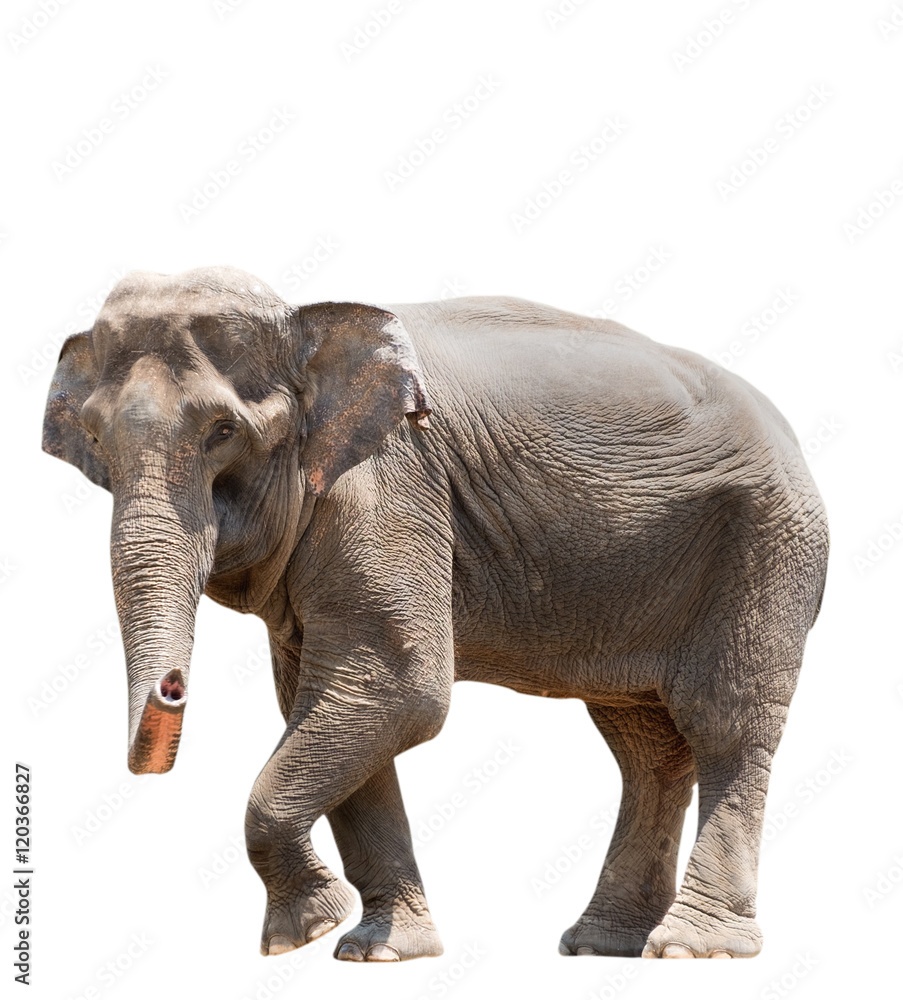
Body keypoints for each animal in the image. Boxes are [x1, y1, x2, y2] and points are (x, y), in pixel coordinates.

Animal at [42, 265, 828, 962]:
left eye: (222, 433)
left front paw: (309, 935)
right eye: (96, 441)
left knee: (724, 723)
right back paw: (600, 946)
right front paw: (375, 952)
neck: (307, 321)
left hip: (765, 549)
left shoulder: (386, 488)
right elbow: (328, 705)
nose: (172, 688)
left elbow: (393, 690)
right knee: (644, 744)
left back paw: (693, 949)